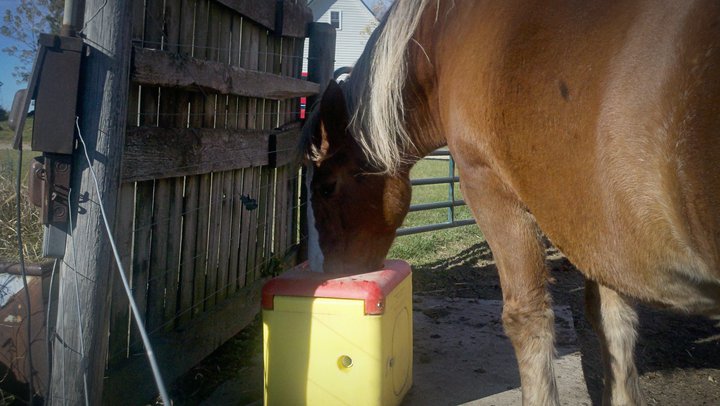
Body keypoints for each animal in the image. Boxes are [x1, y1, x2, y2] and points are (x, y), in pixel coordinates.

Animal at [300, 1, 720, 404]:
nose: (323, 272)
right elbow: (614, 326)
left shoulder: (489, 187)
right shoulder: (600, 231)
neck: (445, 37)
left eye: (326, 188)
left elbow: (527, 317)